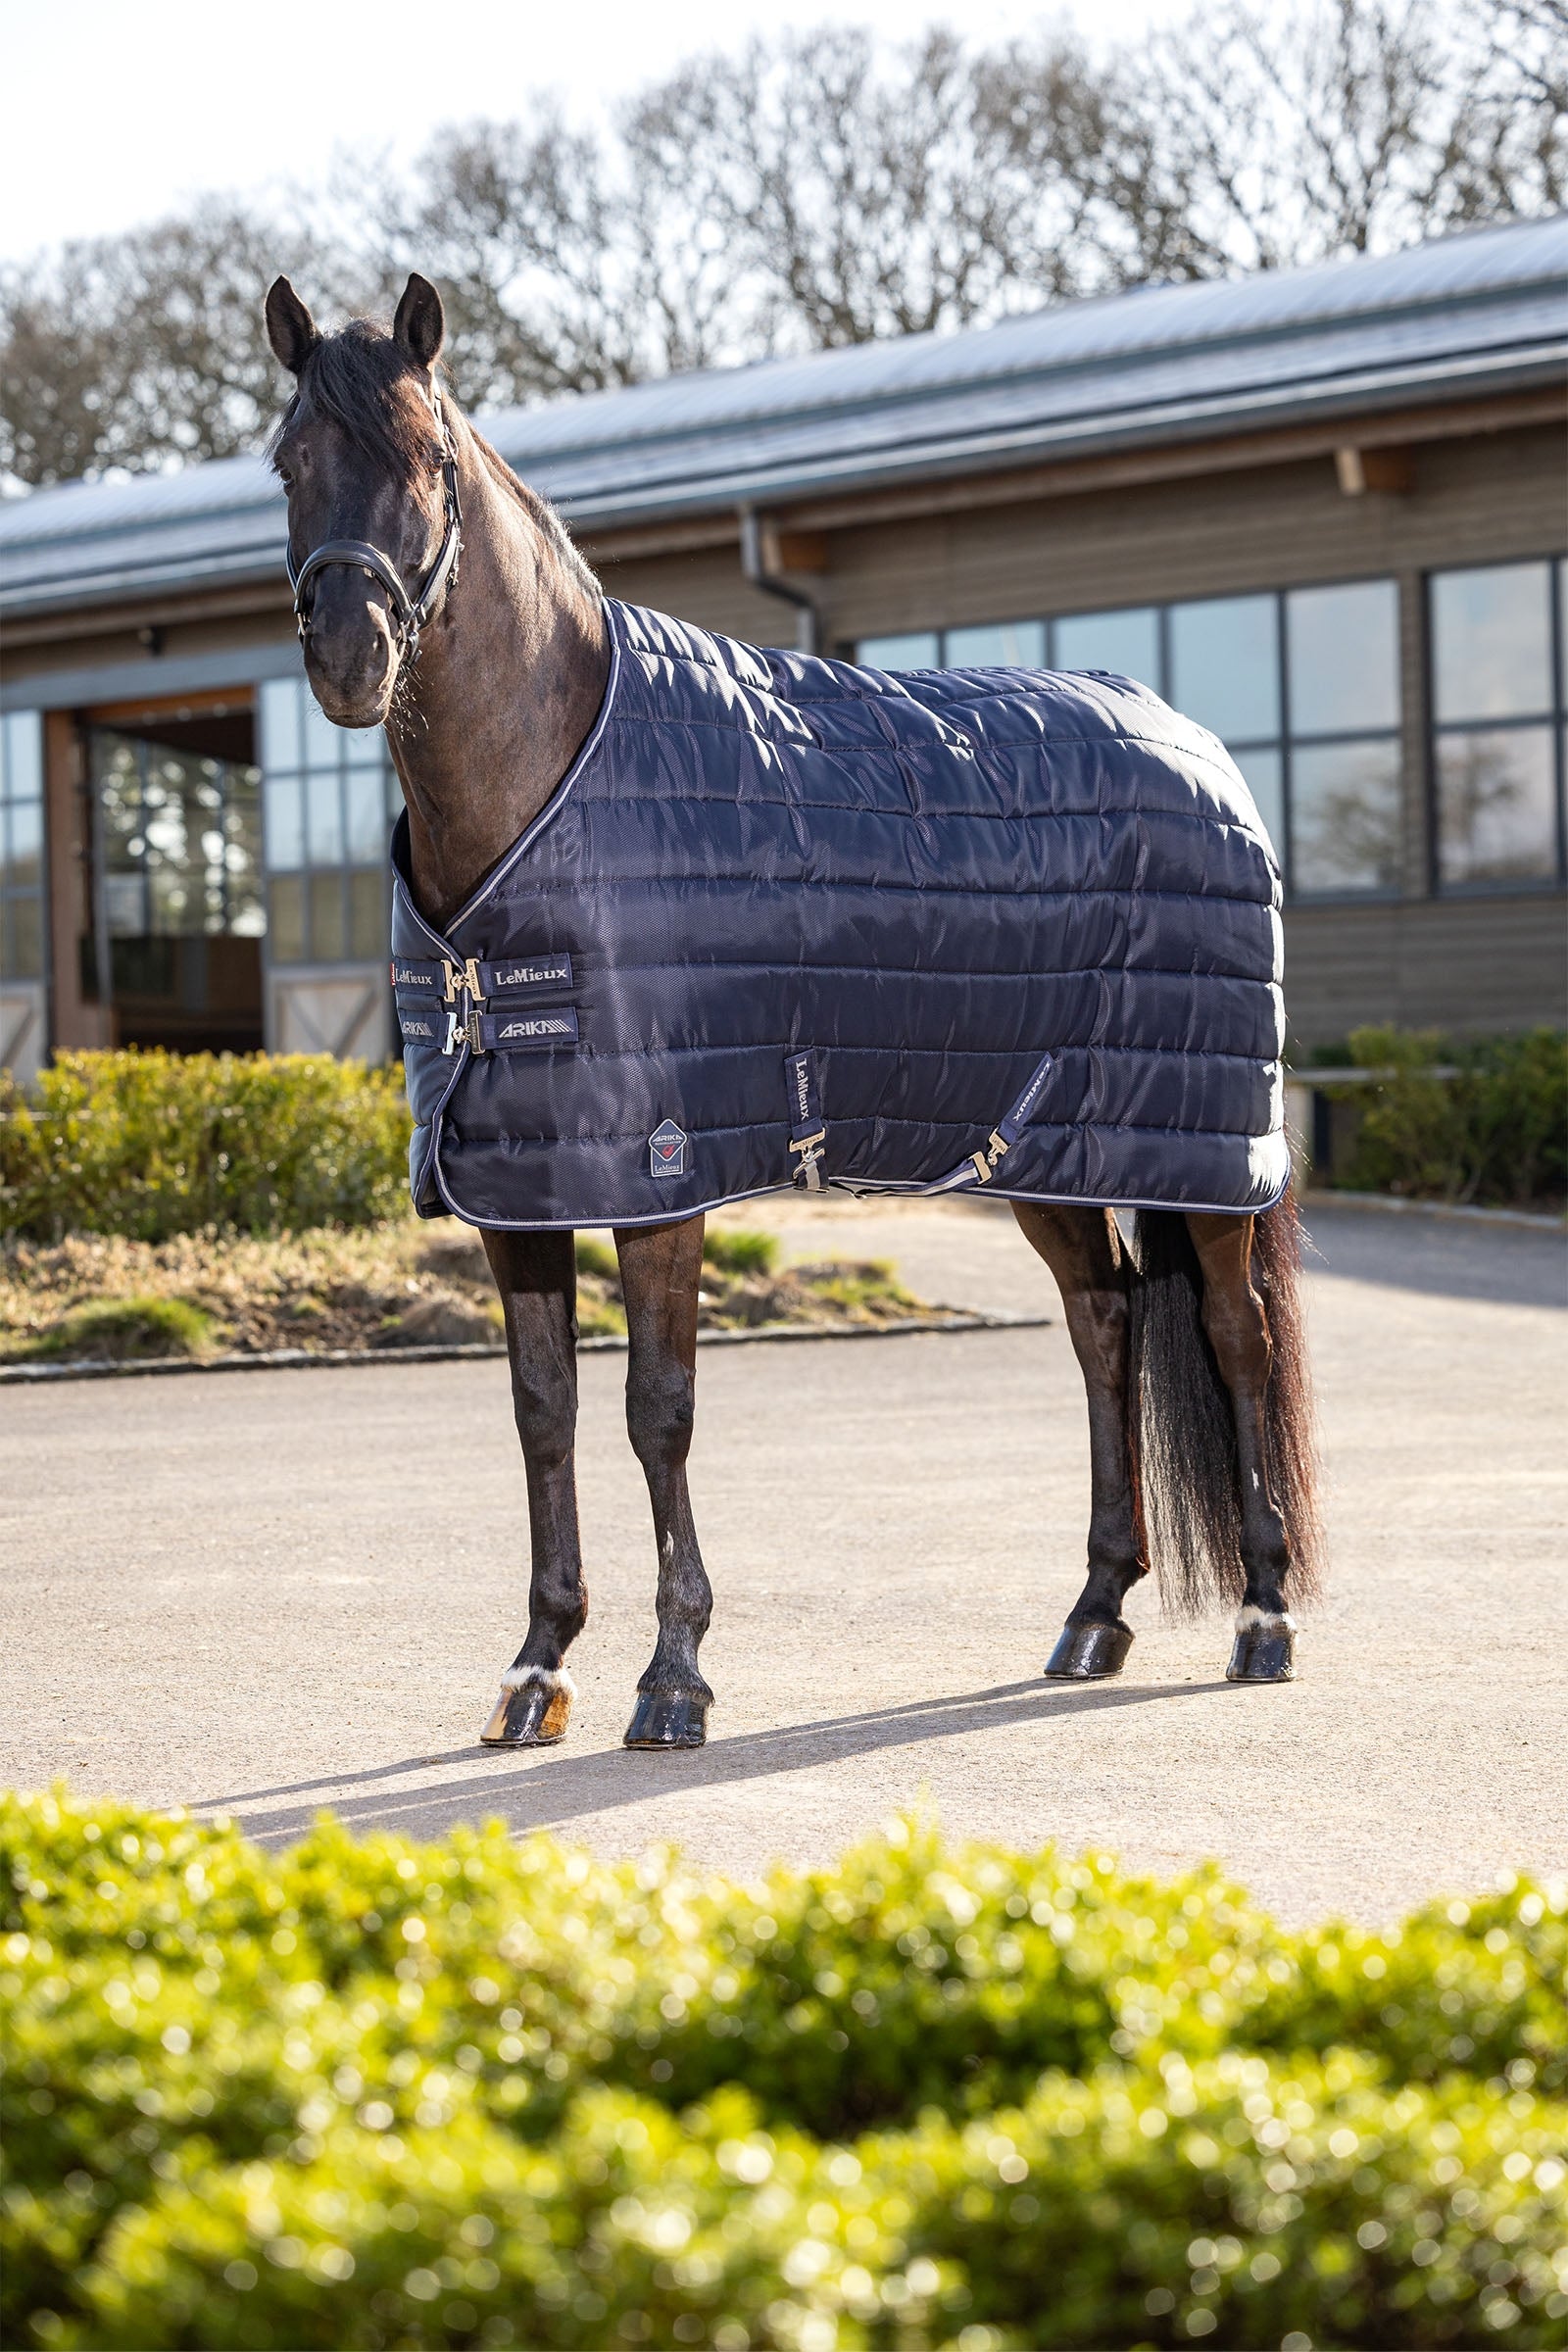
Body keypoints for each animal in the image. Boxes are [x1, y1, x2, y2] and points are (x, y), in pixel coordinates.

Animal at [263, 271, 1322, 1753]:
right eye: (288, 461)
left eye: (428, 459)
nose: (352, 656)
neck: (557, 786)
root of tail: (1197, 749)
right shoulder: (517, 1183)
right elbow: (544, 1412)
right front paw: (536, 1667)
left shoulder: (660, 1173)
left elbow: (657, 1411)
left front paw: (673, 1678)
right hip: (1040, 1146)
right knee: (1104, 1326)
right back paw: (1094, 1613)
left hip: (1206, 1154)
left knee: (1236, 1340)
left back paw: (1262, 1617)